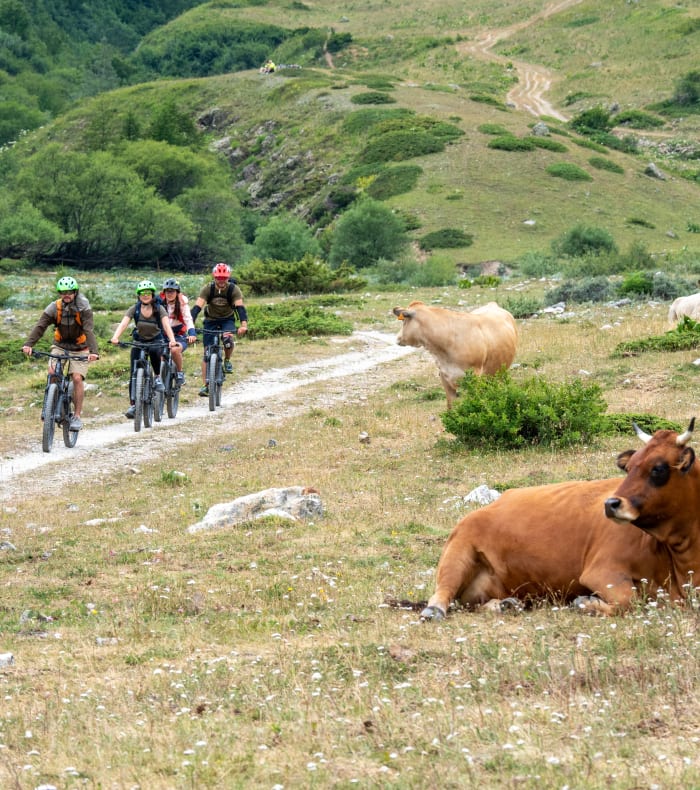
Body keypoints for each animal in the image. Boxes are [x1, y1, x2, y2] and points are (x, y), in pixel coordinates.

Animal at [420, 419, 699, 620]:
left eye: (658, 468)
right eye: (629, 467)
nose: (610, 504)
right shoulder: (602, 570)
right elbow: (627, 602)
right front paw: (586, 603)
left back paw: (506, 604)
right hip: (459, 550)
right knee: (443, 592)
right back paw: (435, 611)